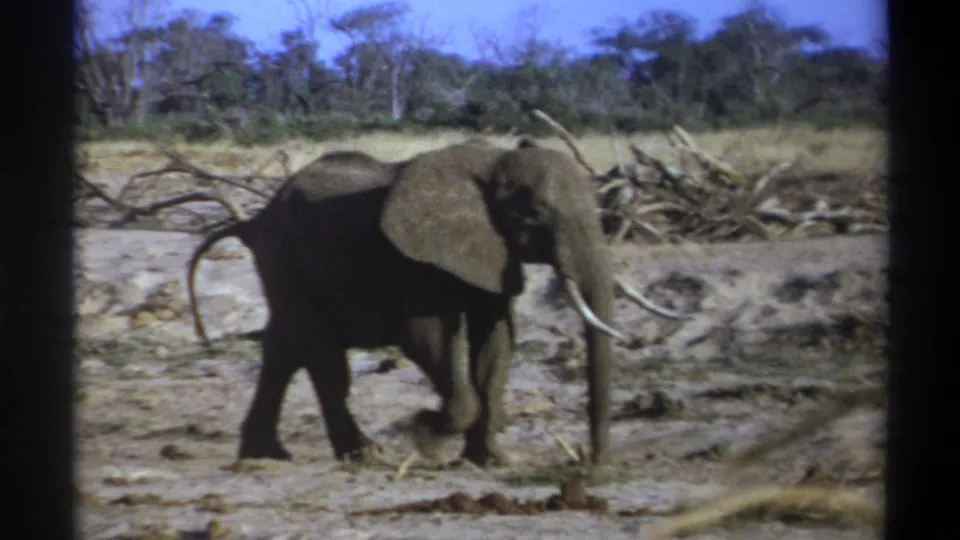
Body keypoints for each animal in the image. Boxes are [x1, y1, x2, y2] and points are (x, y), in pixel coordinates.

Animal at [186, 137, 683, 467]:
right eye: (534, 214)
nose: (593, 463)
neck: (493, 163)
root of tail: (253, 220)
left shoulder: (490, 253)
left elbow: (496, 339)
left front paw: (489, 462)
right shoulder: (419, 258)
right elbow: (424, 335)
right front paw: (424, 435)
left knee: (283, 350)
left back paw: (267, 455)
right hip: (285, 261)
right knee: (322, 358)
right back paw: (363, 455)